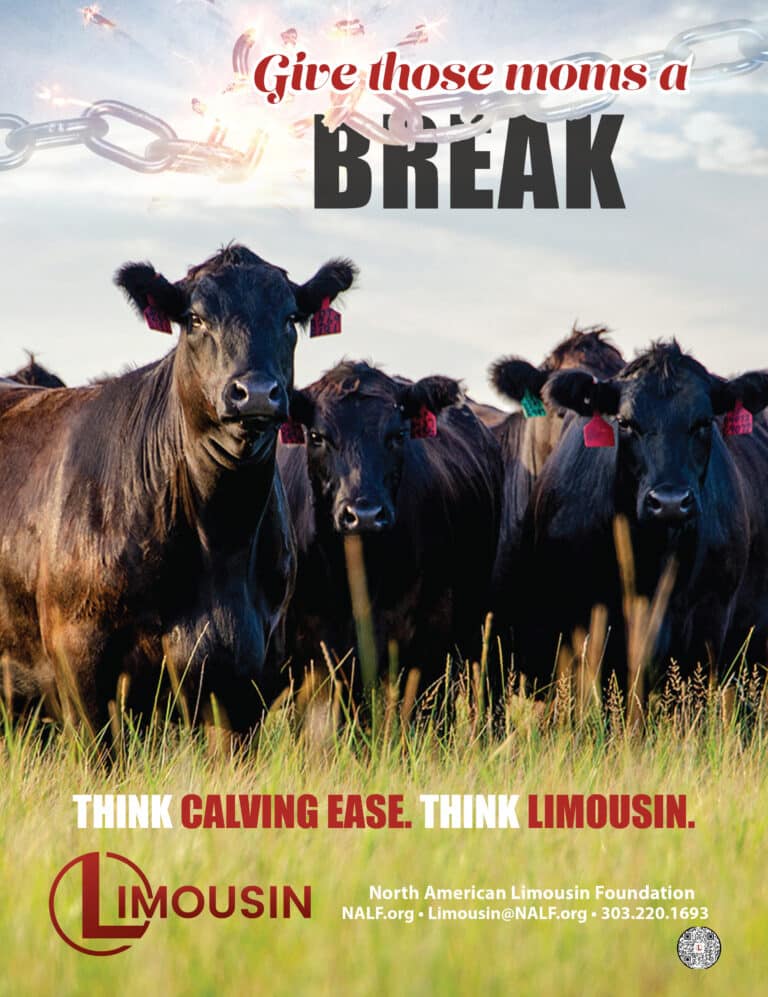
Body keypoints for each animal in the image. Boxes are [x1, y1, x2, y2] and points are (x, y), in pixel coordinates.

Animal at [0, 244, 356, 734]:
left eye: (289, 318)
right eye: (194, 319)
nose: (256, 392)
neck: (220, 539)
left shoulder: (249, 677)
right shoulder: (80, 667)